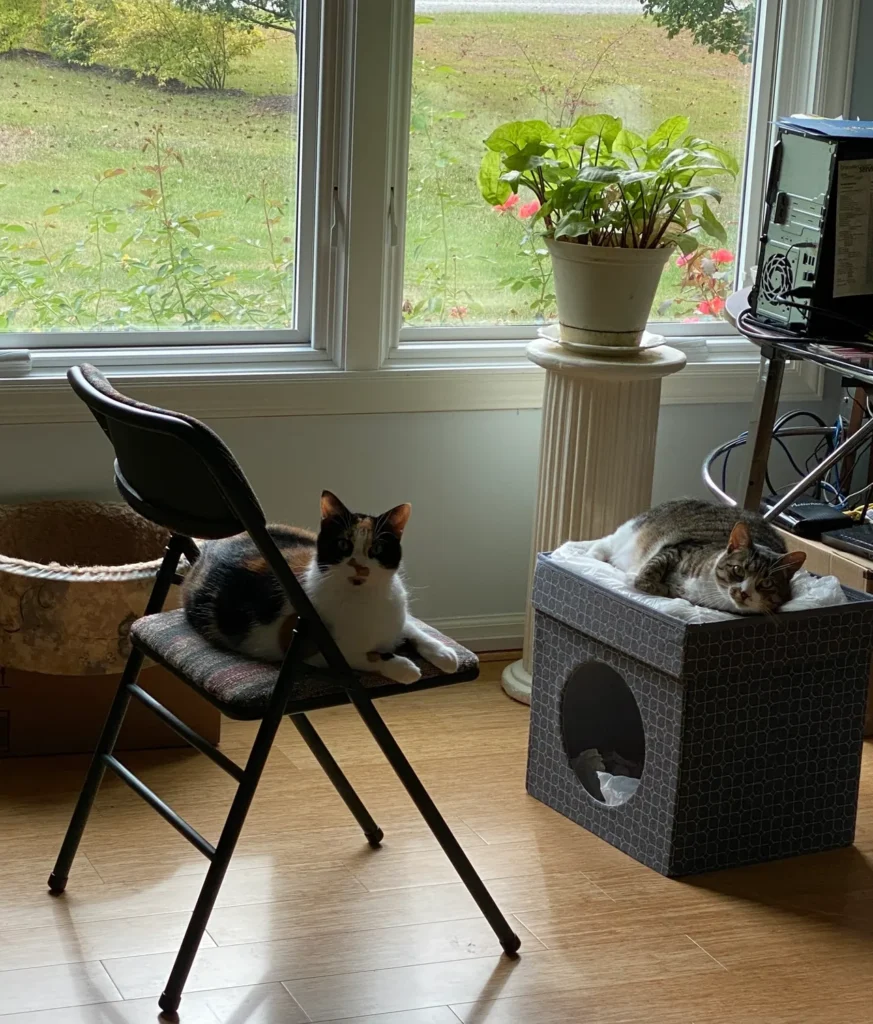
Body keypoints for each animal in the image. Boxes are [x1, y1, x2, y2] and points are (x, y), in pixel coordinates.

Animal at [181, 491, 460, 684]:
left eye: (377, 548)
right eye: (343, 545)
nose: (360, 566)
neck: (366, 599)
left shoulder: (398, 616)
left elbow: (414, 629)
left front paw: (445, 654)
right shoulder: (306, 648)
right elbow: (360, 656)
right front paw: (403, 668)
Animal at [589, 497, 806, 610]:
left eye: (767, 583)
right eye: (738, 570)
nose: (744, 592)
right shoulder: (677, 549)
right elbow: (647, 574)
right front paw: (643, 579)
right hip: (632, 532)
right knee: (609, 541)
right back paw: (595, 555)